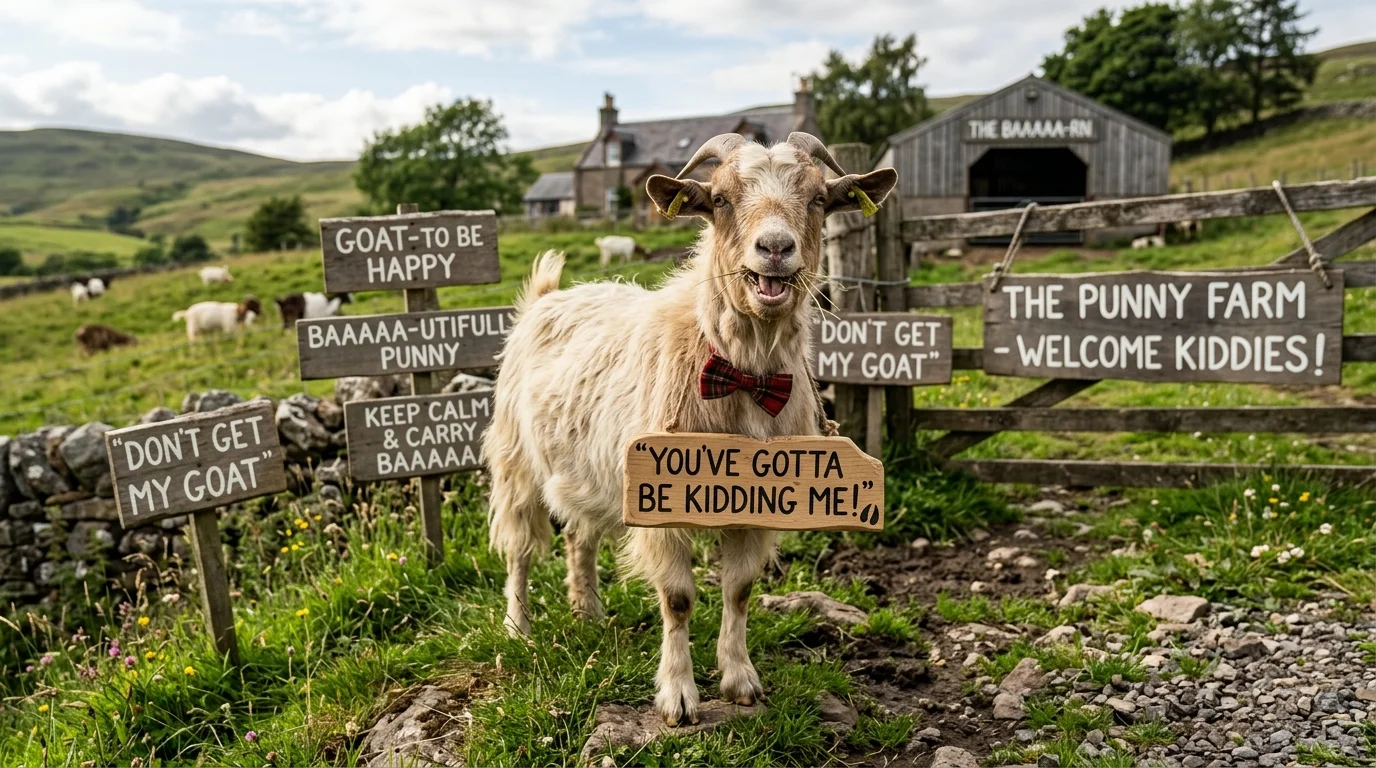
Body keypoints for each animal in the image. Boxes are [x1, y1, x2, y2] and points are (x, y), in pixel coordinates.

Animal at [485, 133, 897, 725]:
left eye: (819, 198)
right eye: (720, 199)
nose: (775, 248)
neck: (740, 372)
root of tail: (547, 297)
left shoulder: (757, 504)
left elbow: (739, 590)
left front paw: (740, 679)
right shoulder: (661, 506)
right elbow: (678, 600)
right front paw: (678, 697)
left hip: (589, 473)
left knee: (579, 539)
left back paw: (588, 613)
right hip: (516, 463)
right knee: (519, 549)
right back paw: (519, 628)